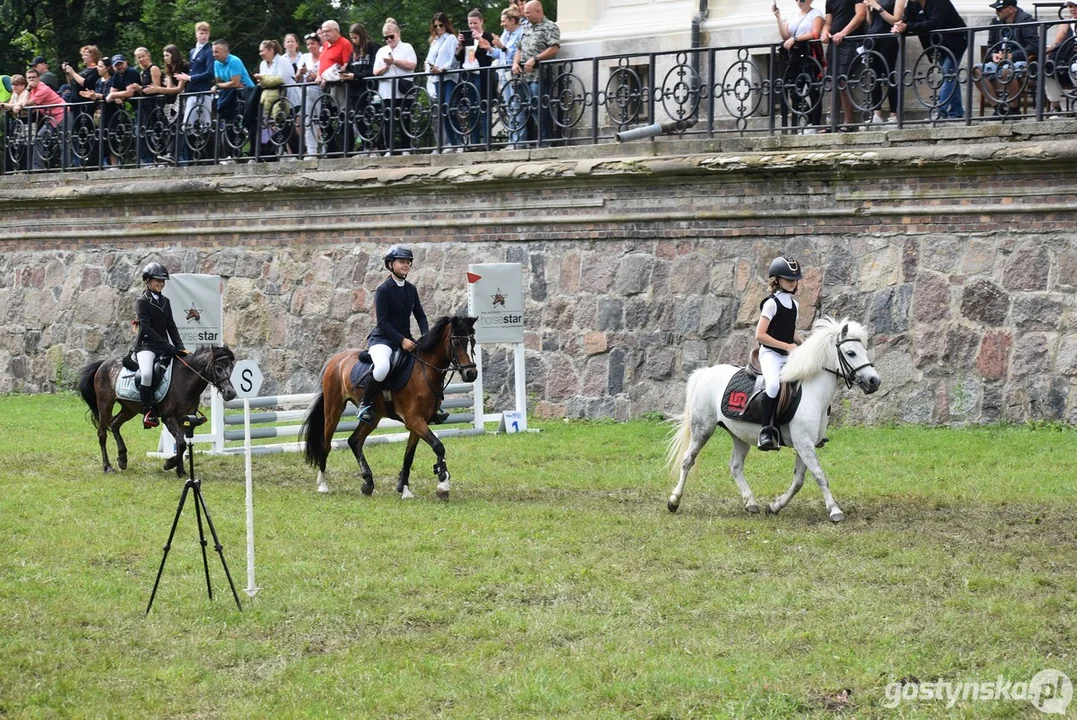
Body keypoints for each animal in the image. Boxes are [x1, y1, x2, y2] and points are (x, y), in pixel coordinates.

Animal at [78, 344, 239, 473]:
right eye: (218, 368)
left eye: (231, 367)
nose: (230, 393)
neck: (185, 380)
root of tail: (103, 363)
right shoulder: (169, 418)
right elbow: (181, 444)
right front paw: (169, 464)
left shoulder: (185, 418)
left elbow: (181, 444)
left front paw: (180, 471)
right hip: (105, 404)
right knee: (102, 434)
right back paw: (108, 467)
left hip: (129, 409)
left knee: (115, 424)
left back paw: (122, 459)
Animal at [299, 314, 476, 499]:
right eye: (456, 342)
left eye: (473, 341)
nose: (471, 373)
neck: (424, 371)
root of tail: (335, 359)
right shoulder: (413, 420)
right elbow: (438, 446)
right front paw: (443, 484)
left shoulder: (420, 422)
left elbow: (409, 456)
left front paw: (404, 489)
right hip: (334, 409)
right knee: (326, 444)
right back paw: (323, 484)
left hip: (374, 416)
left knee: (354, 441)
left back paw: (368, 483)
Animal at [663, 316, 883, 518]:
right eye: (851, 353)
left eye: (864, 351)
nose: (874, 381)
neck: (813, 392)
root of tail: (706, 372)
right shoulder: (804, 443)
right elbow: (820, 475)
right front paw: (835, 510)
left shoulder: (805, 444)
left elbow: (799, 481)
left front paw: (775, 506)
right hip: (703, 429)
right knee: (688, 460)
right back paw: (674, 501)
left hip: (739, 434)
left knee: (735, 466)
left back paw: (751, 503)